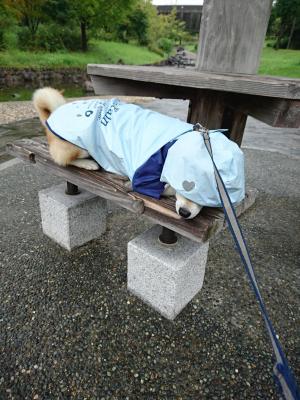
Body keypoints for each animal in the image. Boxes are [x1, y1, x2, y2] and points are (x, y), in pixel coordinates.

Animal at [33, 87, 244, 219]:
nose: (184, 213)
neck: (176, 143)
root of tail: (54, 114)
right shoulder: (144, 178)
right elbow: (165, 187)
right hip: (78, 146)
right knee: (63, 160)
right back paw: (89, 163)